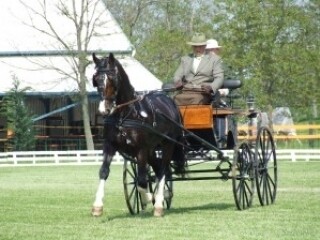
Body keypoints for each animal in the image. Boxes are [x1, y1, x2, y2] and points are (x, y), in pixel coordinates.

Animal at [91, 53, 185, 218]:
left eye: (113, 78)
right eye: (96, 79)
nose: (104, 109)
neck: (124, 115)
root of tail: (170, 101)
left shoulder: (141, 150)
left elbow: (141, 180)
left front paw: (148, 197)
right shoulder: (109, 146)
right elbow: (104, 172)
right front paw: (97, 206)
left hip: (168, 144)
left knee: (163, 170)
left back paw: (159, 202)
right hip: (152, 149)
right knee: (160, 168)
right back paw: (164, 195)